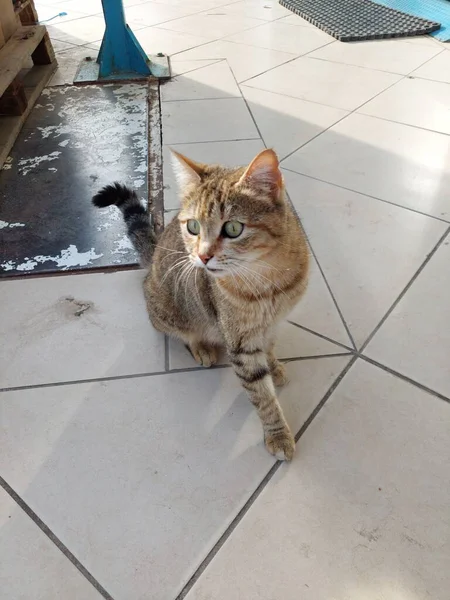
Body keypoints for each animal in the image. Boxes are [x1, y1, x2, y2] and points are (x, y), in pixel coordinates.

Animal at [91, 148, 310, 462]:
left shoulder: (273, 322)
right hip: (172, 313)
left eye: (233, 228)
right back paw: (201, 348)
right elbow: (262, 395)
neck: (268, 278)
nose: (203, 256)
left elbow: (268, 346)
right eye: (193, 226)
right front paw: (278, 433)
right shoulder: (240, 342)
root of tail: (152, 259)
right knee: (183, 333)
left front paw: (273, 365)